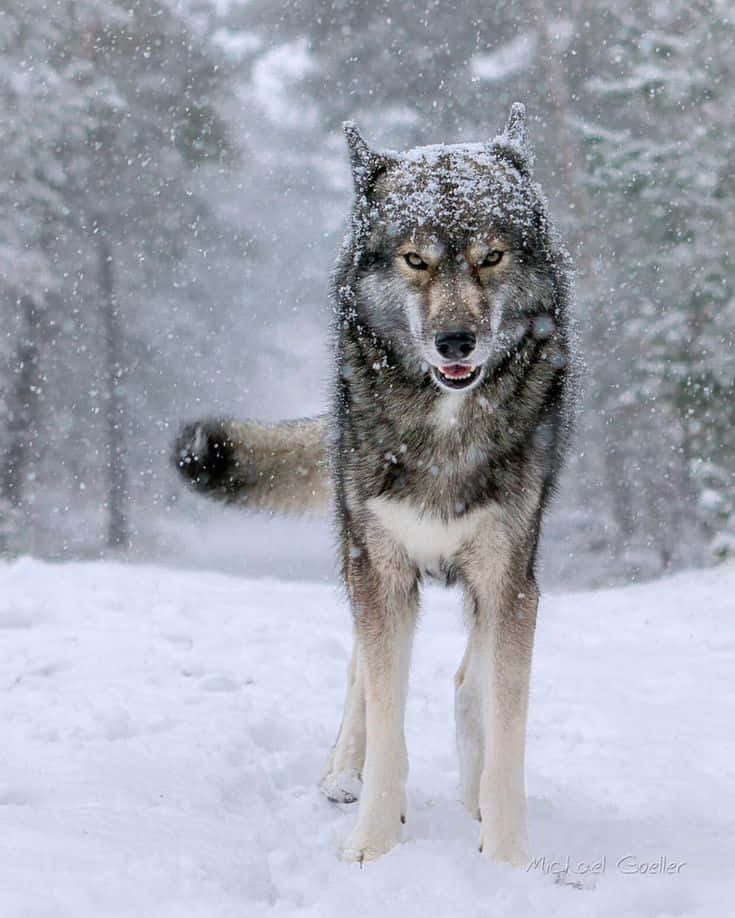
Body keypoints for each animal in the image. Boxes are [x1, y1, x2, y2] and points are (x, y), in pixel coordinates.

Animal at [174, 103, 576, 866]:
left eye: (490, 257)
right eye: (416, 260)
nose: (456, 343)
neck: (445, 428)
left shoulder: (510, 580)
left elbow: (503, 723)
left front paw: (507, 855)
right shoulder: (380, 569)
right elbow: (387, 715)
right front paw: (373, 843)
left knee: (466, 681)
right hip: (357, 550)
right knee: (361, 671)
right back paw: (342, 774)